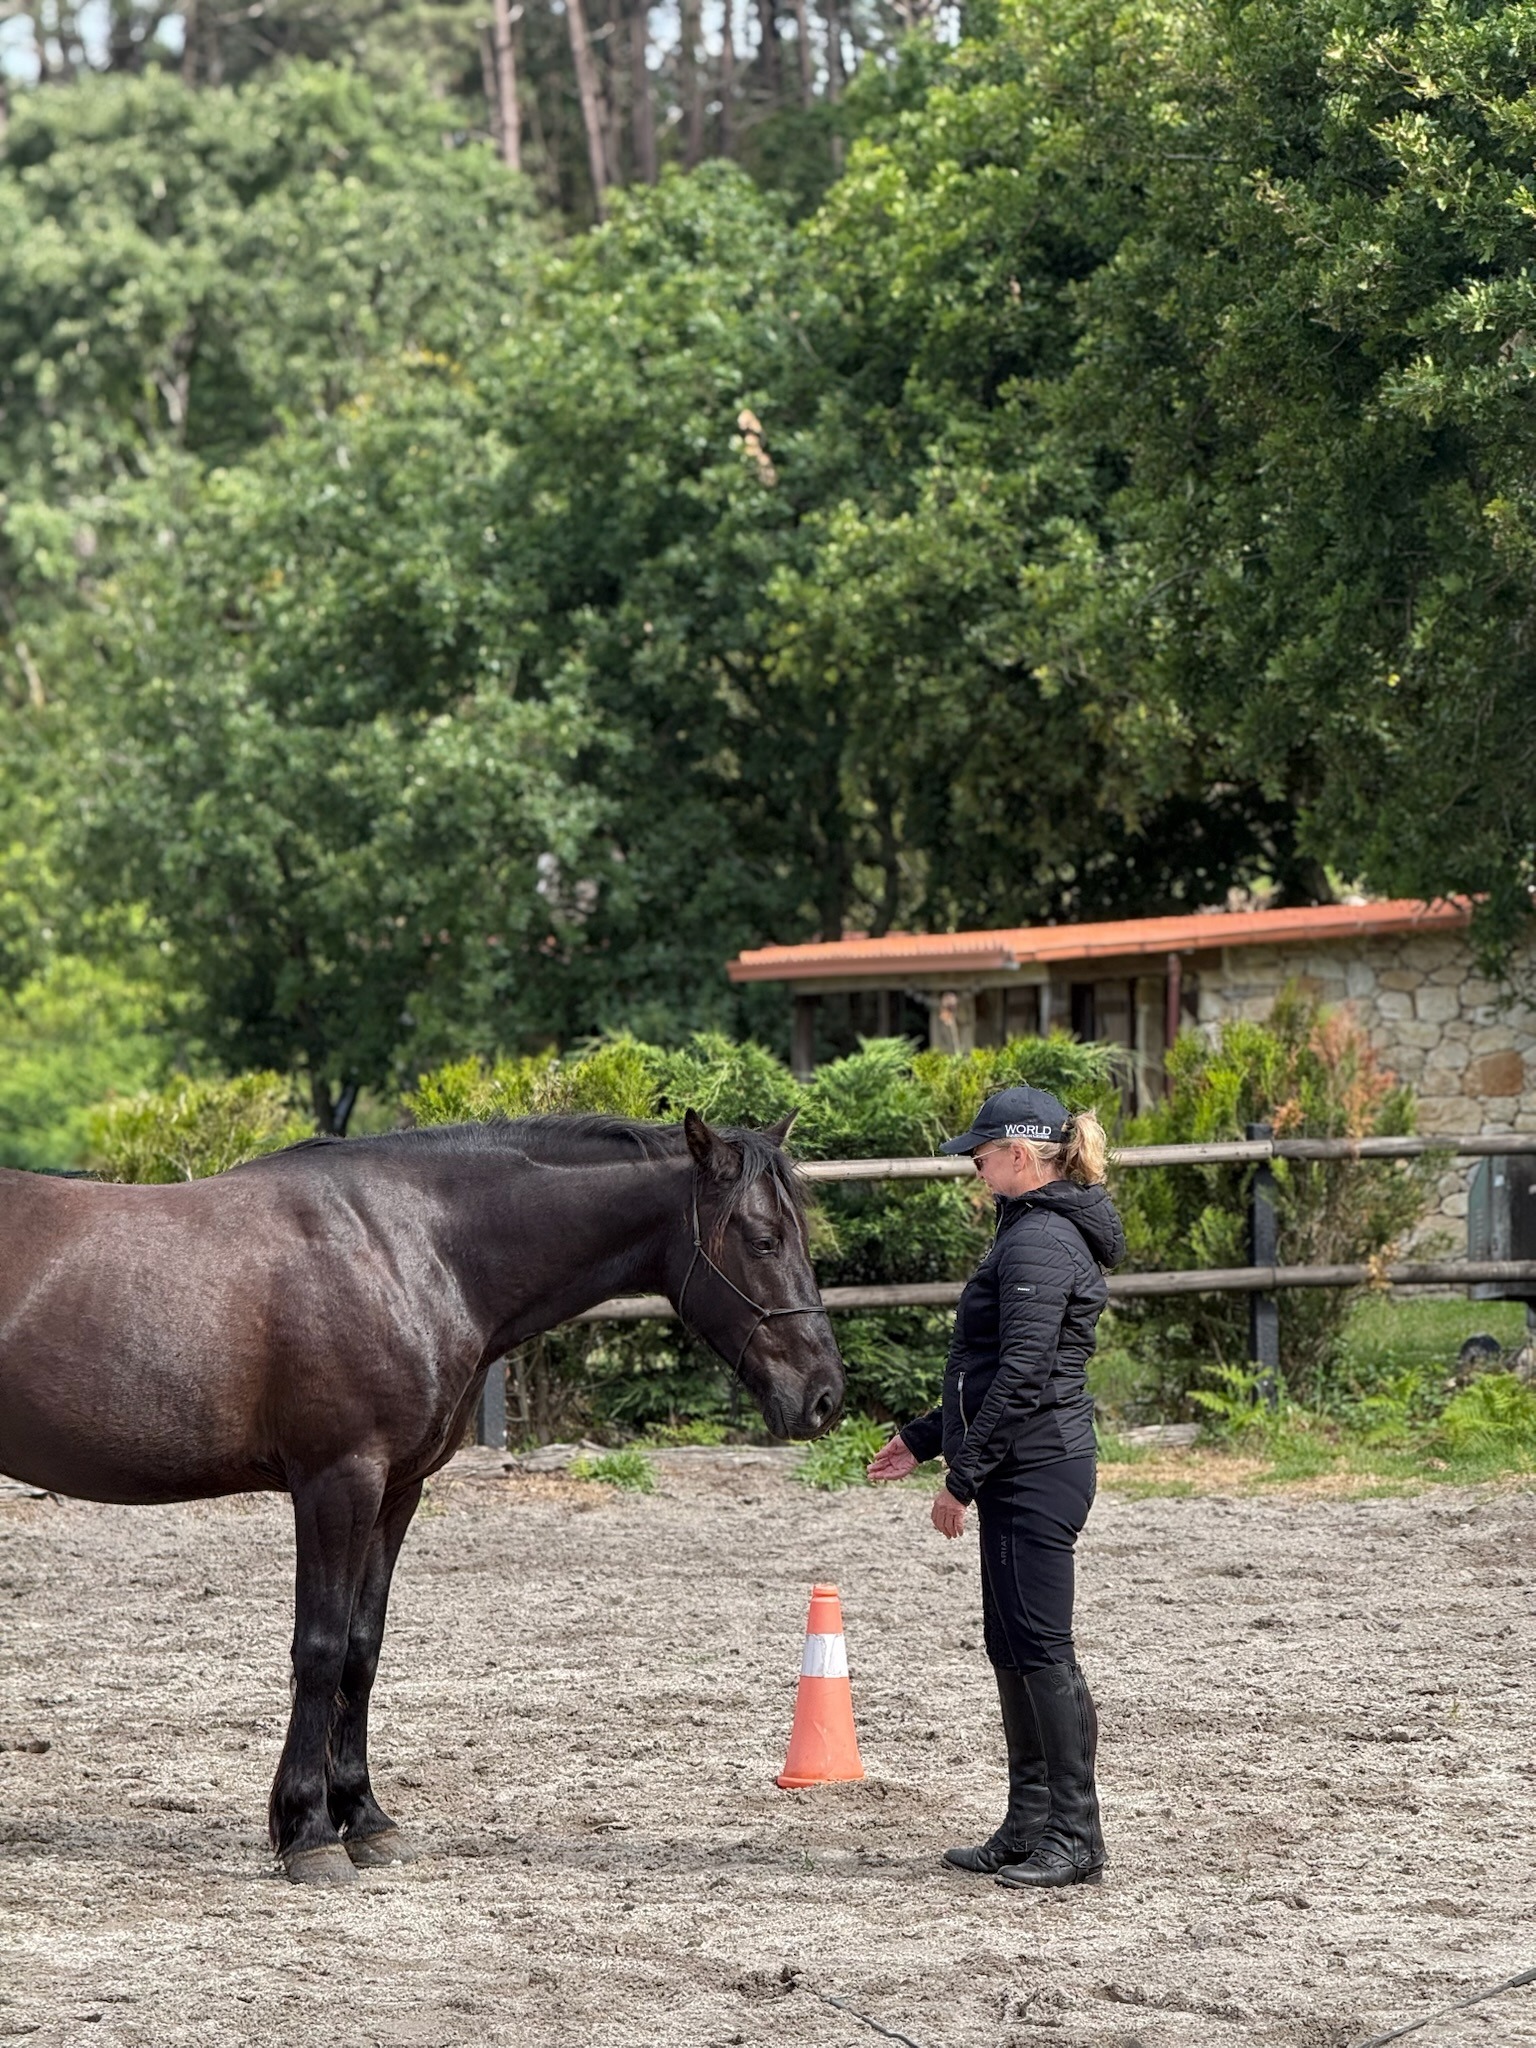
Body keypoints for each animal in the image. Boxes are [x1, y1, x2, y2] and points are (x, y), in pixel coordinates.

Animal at [0, 1108, 843, 1883]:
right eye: (762, 1239)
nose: (824, 1397)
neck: (410, 1250)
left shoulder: (397, 1490)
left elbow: (361, 1652)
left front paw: (365, 1819)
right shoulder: (337, 1482)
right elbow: (319, 1648)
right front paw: (308, 1833)